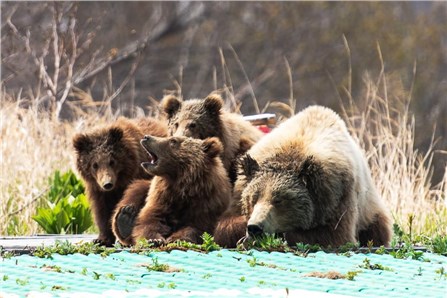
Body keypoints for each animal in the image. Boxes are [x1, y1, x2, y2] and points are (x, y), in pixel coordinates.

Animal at [73, 117, 168, 246]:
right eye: (94, 164)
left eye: (112, 161)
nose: (107, 184)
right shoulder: (97, 189)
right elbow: (102, 210)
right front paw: (101, 239)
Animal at [215, 106, 394, 248]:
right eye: (253, 198)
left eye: (279, 200)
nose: (255, 227)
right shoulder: (241, 187)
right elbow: (224, 226)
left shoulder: (337, 194)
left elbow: (335, 236)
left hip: (368, 208)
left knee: (376, 229)